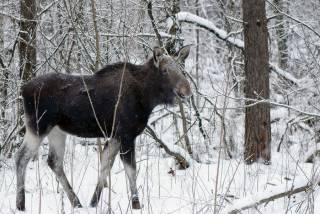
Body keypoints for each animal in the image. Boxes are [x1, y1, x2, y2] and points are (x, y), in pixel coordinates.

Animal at [15, 45, 190, 211]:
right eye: (165, 71)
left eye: (182, 69)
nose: (186, 91)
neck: (147, 98)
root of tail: (23, 89)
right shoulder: (126, 135)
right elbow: (131, 170)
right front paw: (136, 204)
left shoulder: (115, 136)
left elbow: (106, 165)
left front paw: (94, 202)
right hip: (37, 126)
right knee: (21, 157)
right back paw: (20, 204)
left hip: (57, 131)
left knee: (54, 161)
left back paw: (76, 202)